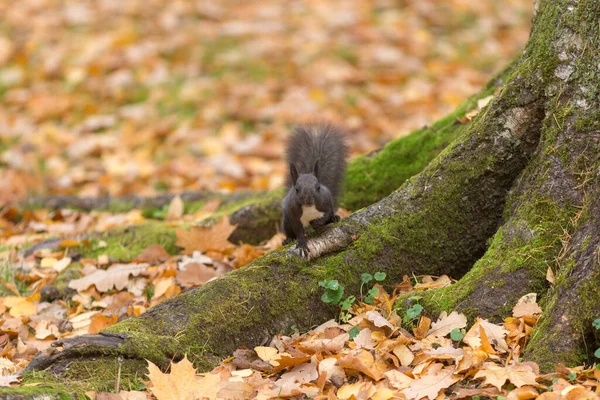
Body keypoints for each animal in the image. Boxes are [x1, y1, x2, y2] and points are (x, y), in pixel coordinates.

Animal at [282, 123, 350, 258]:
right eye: (297, 189)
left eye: (318, 187)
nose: (309, 200)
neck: (308, 208)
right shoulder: (293, 213)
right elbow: (298, 230)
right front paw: (302, 243)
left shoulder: (325, 202)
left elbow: (326, 214)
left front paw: (318, 222)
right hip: (286, 220)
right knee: (289, 231)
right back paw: (288, 239)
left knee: (330, 215)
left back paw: (334, 218)